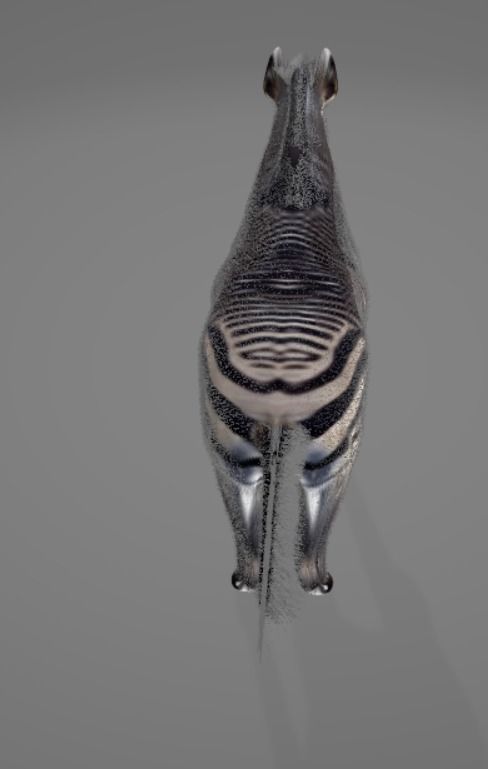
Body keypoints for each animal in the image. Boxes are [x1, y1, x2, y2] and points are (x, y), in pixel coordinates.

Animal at [199, 47, 368, 622]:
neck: (294, 189)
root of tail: (275, 372)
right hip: (335, 447)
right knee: (312, 520)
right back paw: (317, 584)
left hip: (228, 439)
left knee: (249, 511)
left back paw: (248, 583)